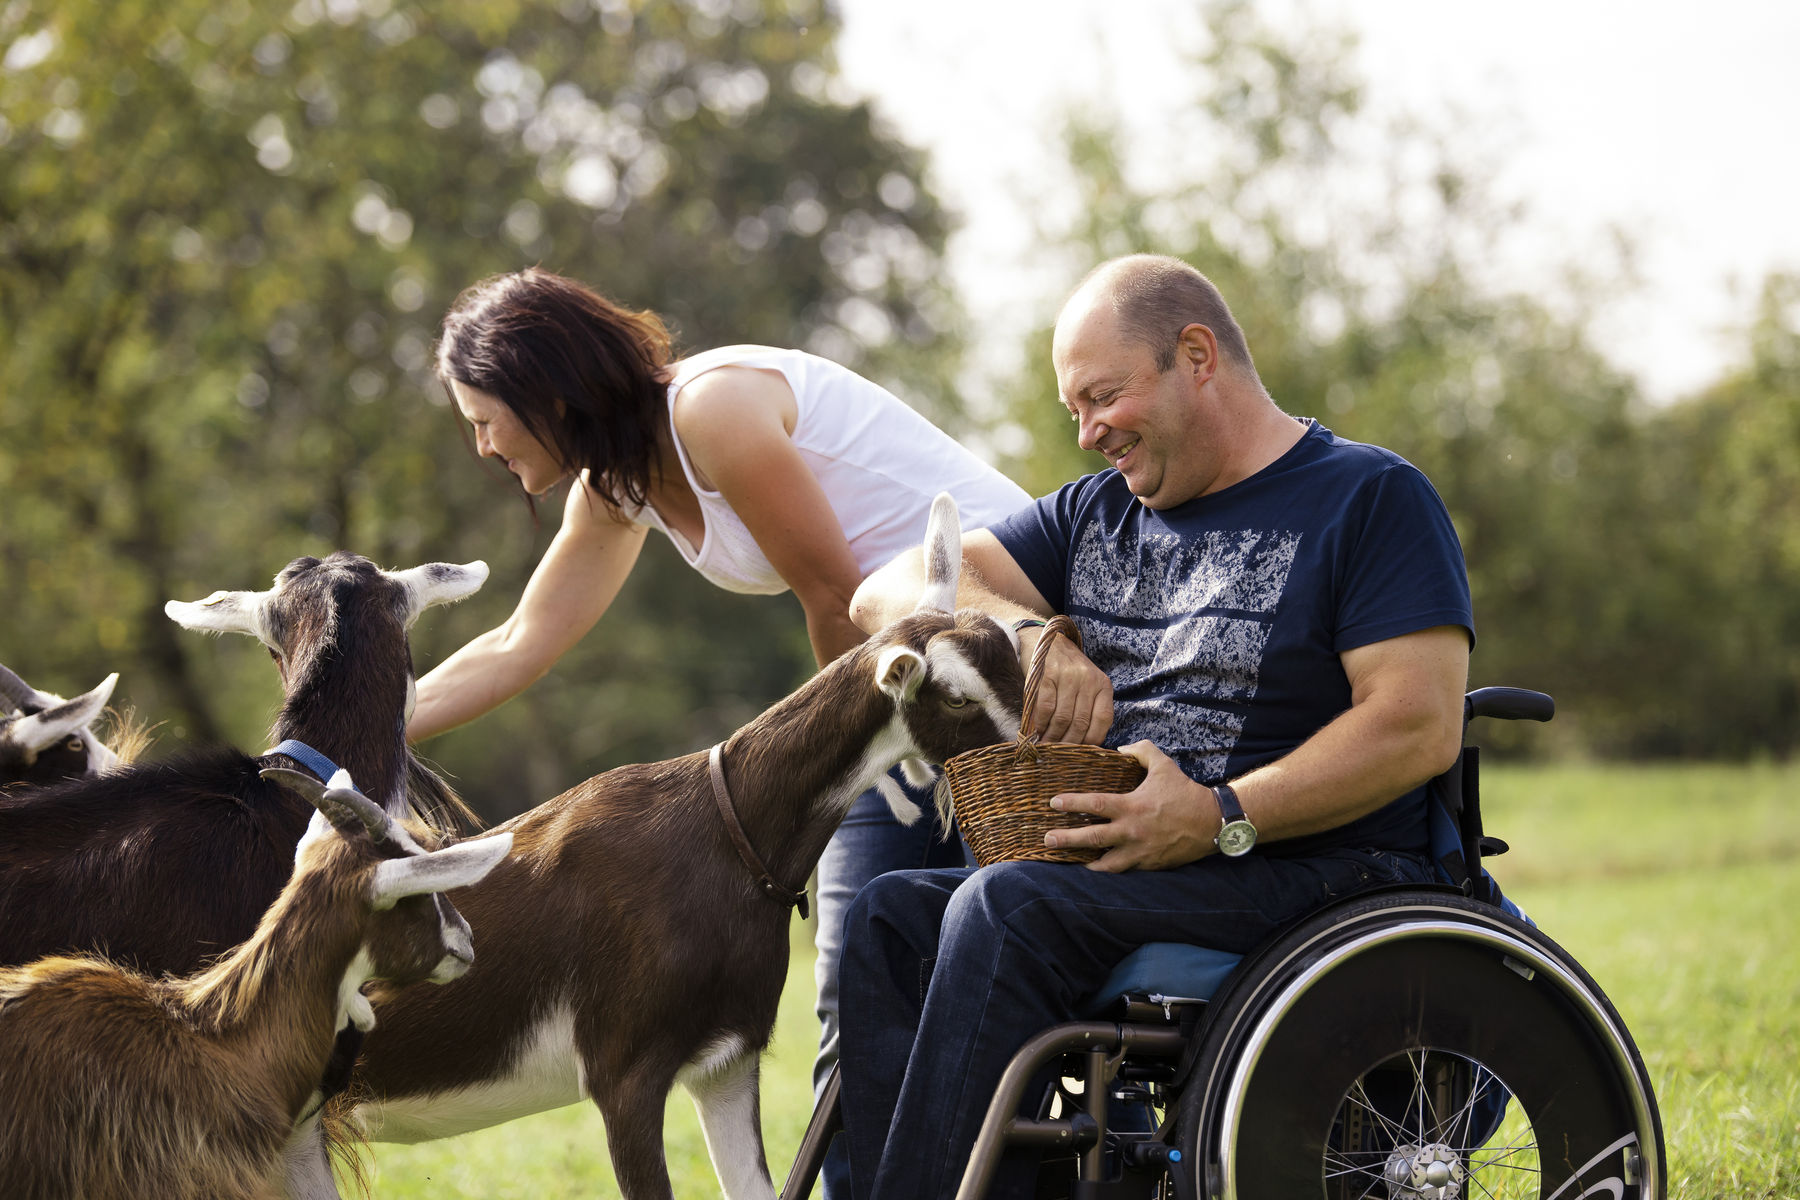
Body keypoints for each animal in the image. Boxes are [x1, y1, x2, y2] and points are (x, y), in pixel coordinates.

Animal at [284, 496, 1029, 1200]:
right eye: (957, 696)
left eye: (1017, 665)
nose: (1036, 743)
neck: (725, 834)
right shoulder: (625, 1073)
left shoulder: (728, 1061)